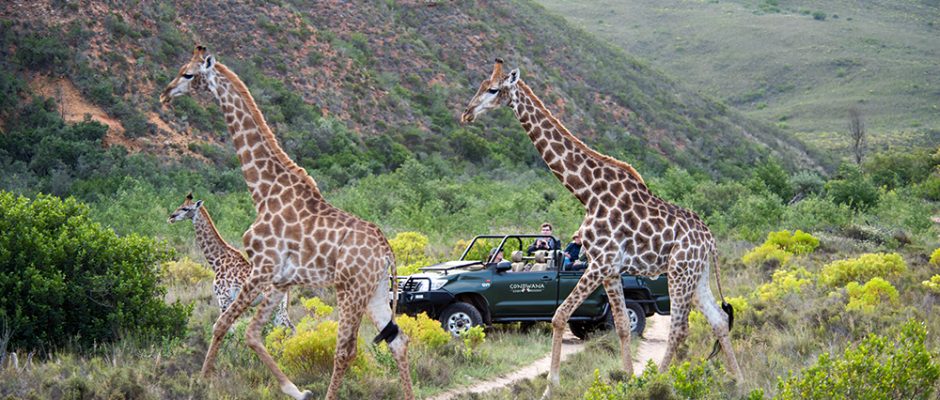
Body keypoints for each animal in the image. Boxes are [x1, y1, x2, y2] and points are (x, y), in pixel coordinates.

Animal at [168, 192, 293, 329]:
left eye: (185, 209)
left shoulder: (223, 299)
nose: (171, 217)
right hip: (280, 305)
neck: (217, 261)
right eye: (180, 206)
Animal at [461, 59, 742, 396]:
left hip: (679, 271)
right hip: (697, 275)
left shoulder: (600, 262)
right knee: (718, 320)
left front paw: (550, 388)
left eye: (492, 89)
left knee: (679, 328)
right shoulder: (611, 269)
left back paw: (658, 381)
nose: (466, 113)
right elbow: (621, 326)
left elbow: (559, 316)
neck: (587, 192)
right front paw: (628, 379)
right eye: (479, 85)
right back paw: (740, 383)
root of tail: (710, 239)